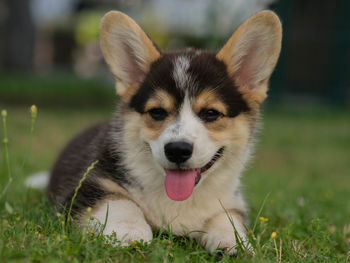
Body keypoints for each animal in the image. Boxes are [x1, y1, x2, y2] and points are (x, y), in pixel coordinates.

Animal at [47, 10, 282, 256]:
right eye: (157, 112)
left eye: (211, 113)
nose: (177, 150)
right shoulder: (90, 186)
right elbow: (121, 203)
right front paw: (130, 234)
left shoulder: (231, 203)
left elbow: (226, 219)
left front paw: (234, 244)